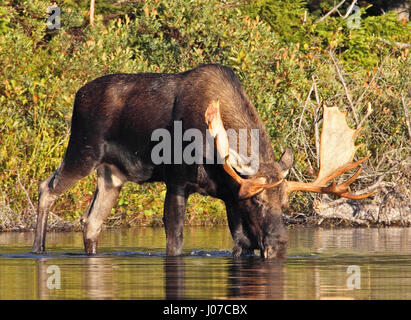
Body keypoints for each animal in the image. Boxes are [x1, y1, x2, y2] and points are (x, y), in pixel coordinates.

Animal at [32, 63, 374, 258]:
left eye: (285, 204)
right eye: (257, 201)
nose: (278, 245)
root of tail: (78, 93)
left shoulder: (230, 195)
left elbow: (240, 242)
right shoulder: (177, 181)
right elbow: (175, 240)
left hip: (112, 175)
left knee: (91, 221)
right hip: (83, 150)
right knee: (46, 186)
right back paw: (38, 249)